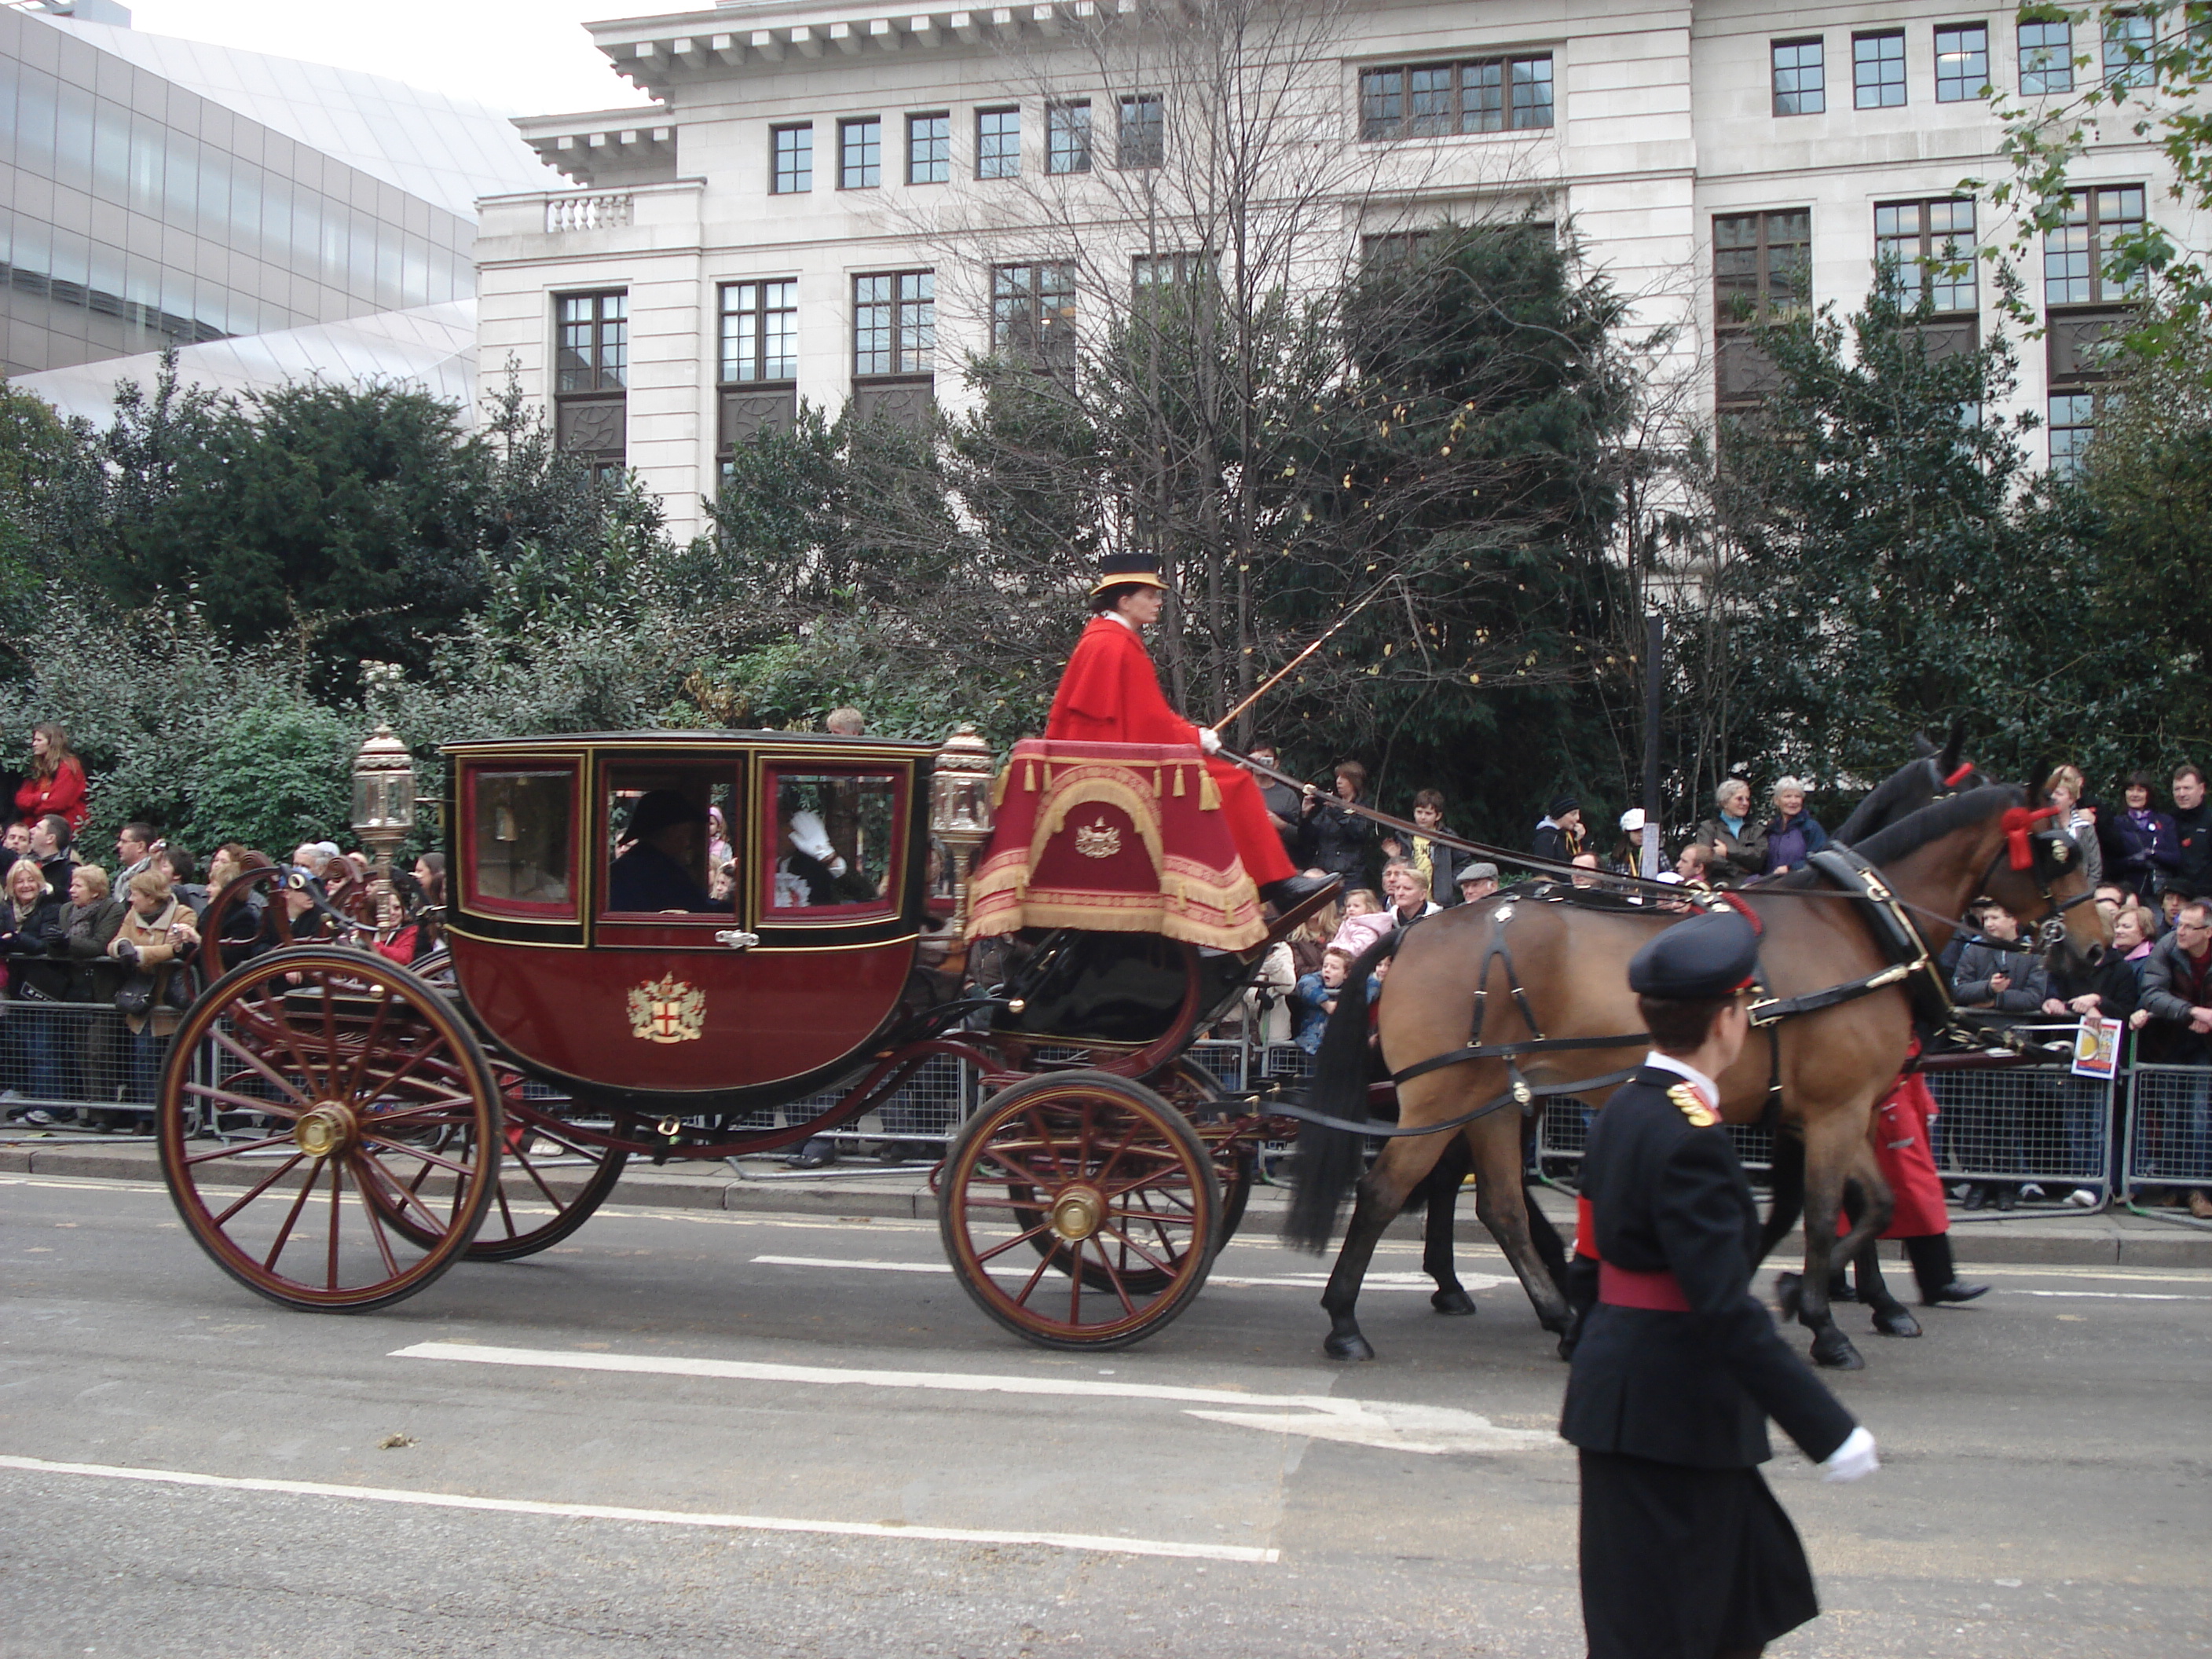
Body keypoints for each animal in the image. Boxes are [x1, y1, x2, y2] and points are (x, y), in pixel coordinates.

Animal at [1282, 776, 2105, 1372]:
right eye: (2057, 851)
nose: (2094, 948)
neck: (1858, 927)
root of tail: (1416, 930)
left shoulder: (1832, 1110)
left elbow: (1863, 1207)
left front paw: (1798, 1294)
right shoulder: (1836, 1110)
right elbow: (1827, 1213)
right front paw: (1818, 1317)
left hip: (1491, 1097)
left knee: (1499, 1207)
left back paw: (1559, 1315)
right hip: (1442, 1095)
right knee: (1384, 1192)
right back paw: (1345, 1320)